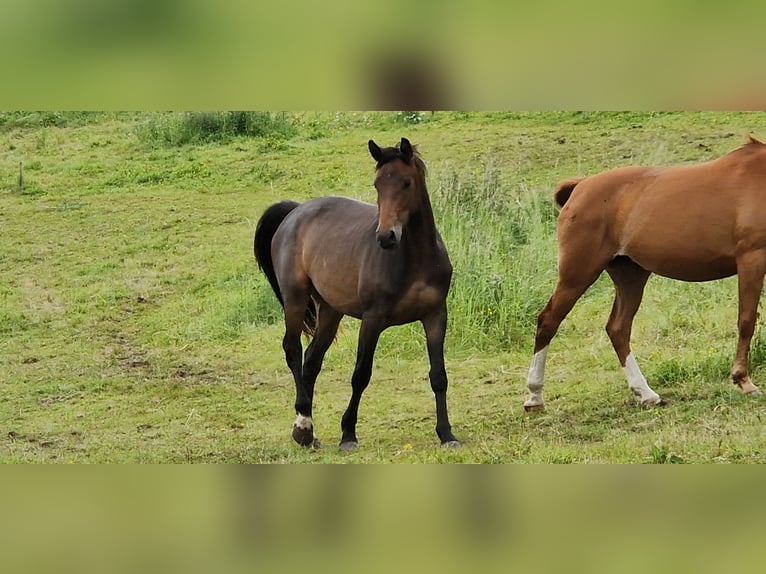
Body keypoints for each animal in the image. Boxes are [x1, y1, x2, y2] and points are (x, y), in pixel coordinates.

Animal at [254, 137, 459, 450]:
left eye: (406, 183)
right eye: (377, 184)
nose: (386, 236)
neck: (415, 259)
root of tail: (295, 212)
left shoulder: (435, 315)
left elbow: (439, 375)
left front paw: (446, 433)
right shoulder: (373, 319)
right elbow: (361, 374)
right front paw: (348, 434)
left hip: (330, 309)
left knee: (312, 359)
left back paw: (309, 431)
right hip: (295, 299)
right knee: (293, 350)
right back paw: (302, 423)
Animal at [525, 134, 766, 412]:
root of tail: (580, 186)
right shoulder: (751, 259)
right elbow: (746, 321)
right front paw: (743, 380)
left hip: (630, 276)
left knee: (618, 329)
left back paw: (646, 393)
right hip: (577, 275)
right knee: (548, 321)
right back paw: (534, 396)